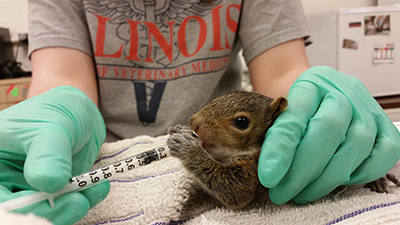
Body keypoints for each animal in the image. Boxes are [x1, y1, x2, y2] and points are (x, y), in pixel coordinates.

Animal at [167, 90, 398, 210]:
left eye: (241, 122)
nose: (193, 123)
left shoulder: (257, 171)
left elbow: (233, 189)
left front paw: (187, 145)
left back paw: (380, 179)